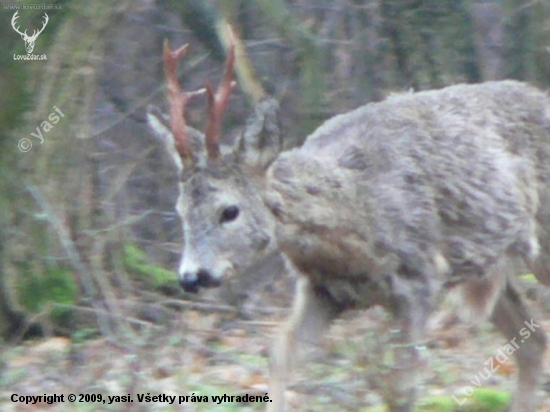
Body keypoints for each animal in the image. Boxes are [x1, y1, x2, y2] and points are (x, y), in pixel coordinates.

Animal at [148, 37, 550, 410]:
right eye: (181, 210)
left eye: (229, 211)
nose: (191, 277)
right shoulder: (323, 291)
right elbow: (278, 355)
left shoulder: (422, 277)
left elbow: (401, 388)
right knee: (533, 343)